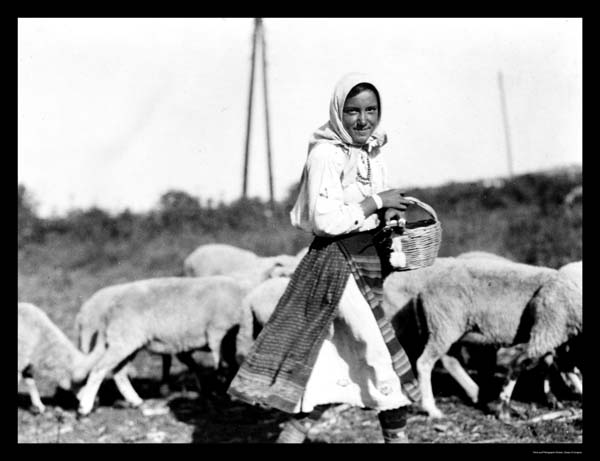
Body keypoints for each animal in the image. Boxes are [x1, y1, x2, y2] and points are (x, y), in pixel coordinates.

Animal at [75, 274, 246, 416]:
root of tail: (111, 309)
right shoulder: (220, 335)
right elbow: (223, 365)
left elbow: (227, 366)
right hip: (123, 340)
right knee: (99, 369)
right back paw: (85, 407)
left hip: (128, 343)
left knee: (119, 373)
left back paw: (136, 401)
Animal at [382, 256, 584, 418]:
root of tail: (423, 291)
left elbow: (560, 365)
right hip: (442, 324)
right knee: (422, 363)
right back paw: (431, 408)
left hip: (447, 327)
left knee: (448, 360)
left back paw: (476, 393)